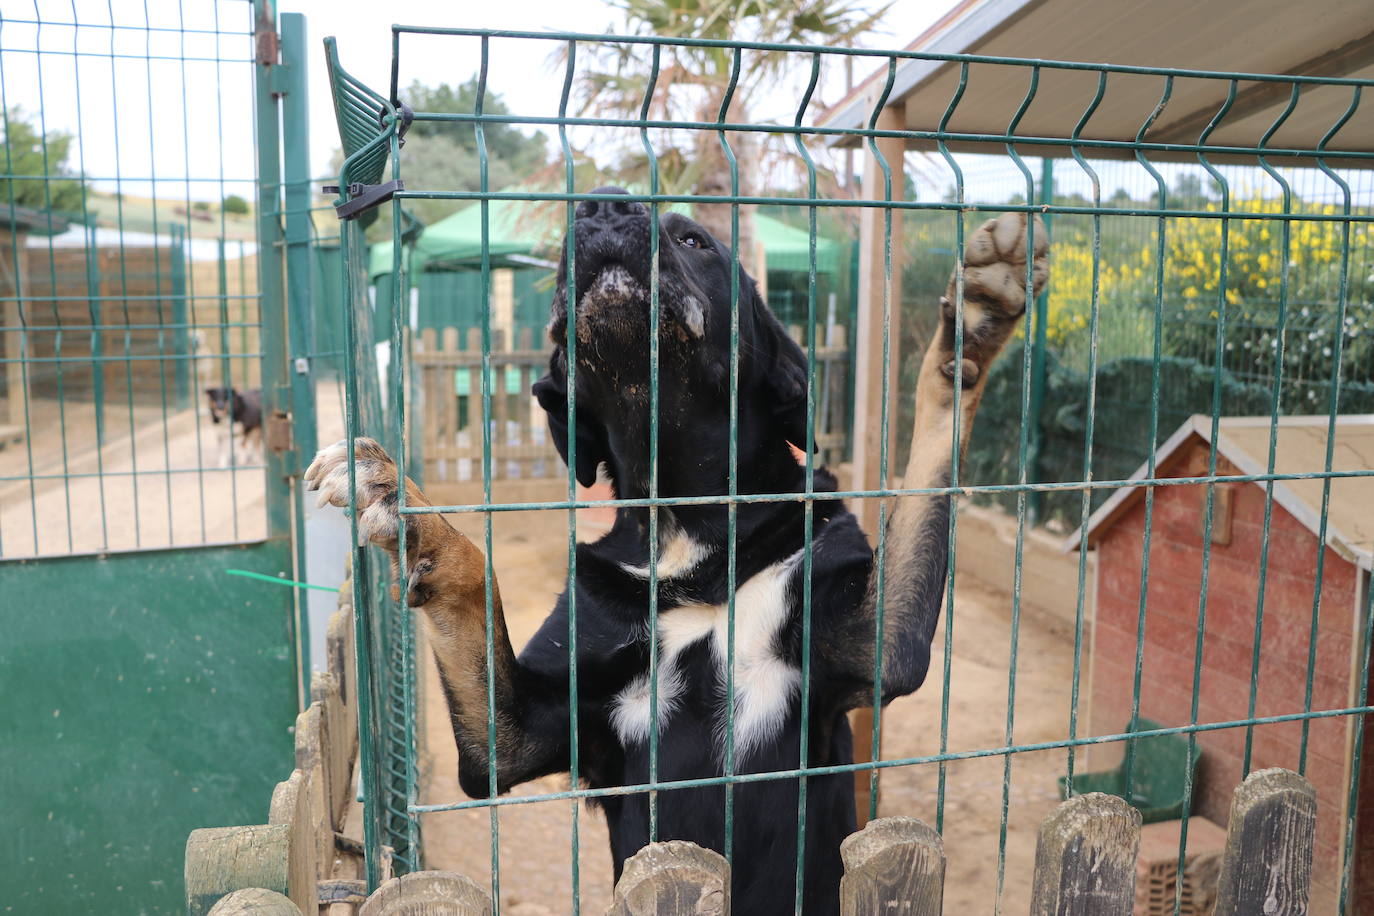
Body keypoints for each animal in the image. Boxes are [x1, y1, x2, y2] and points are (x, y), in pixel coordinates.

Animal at [306, 189, 1044, 911]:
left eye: (695, 240)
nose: (603, 205)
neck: (691, 531)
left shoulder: (877, 641)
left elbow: (934, 431)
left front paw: (972, 330)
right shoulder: (513, 739)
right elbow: (475, 579)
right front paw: (404, 503)